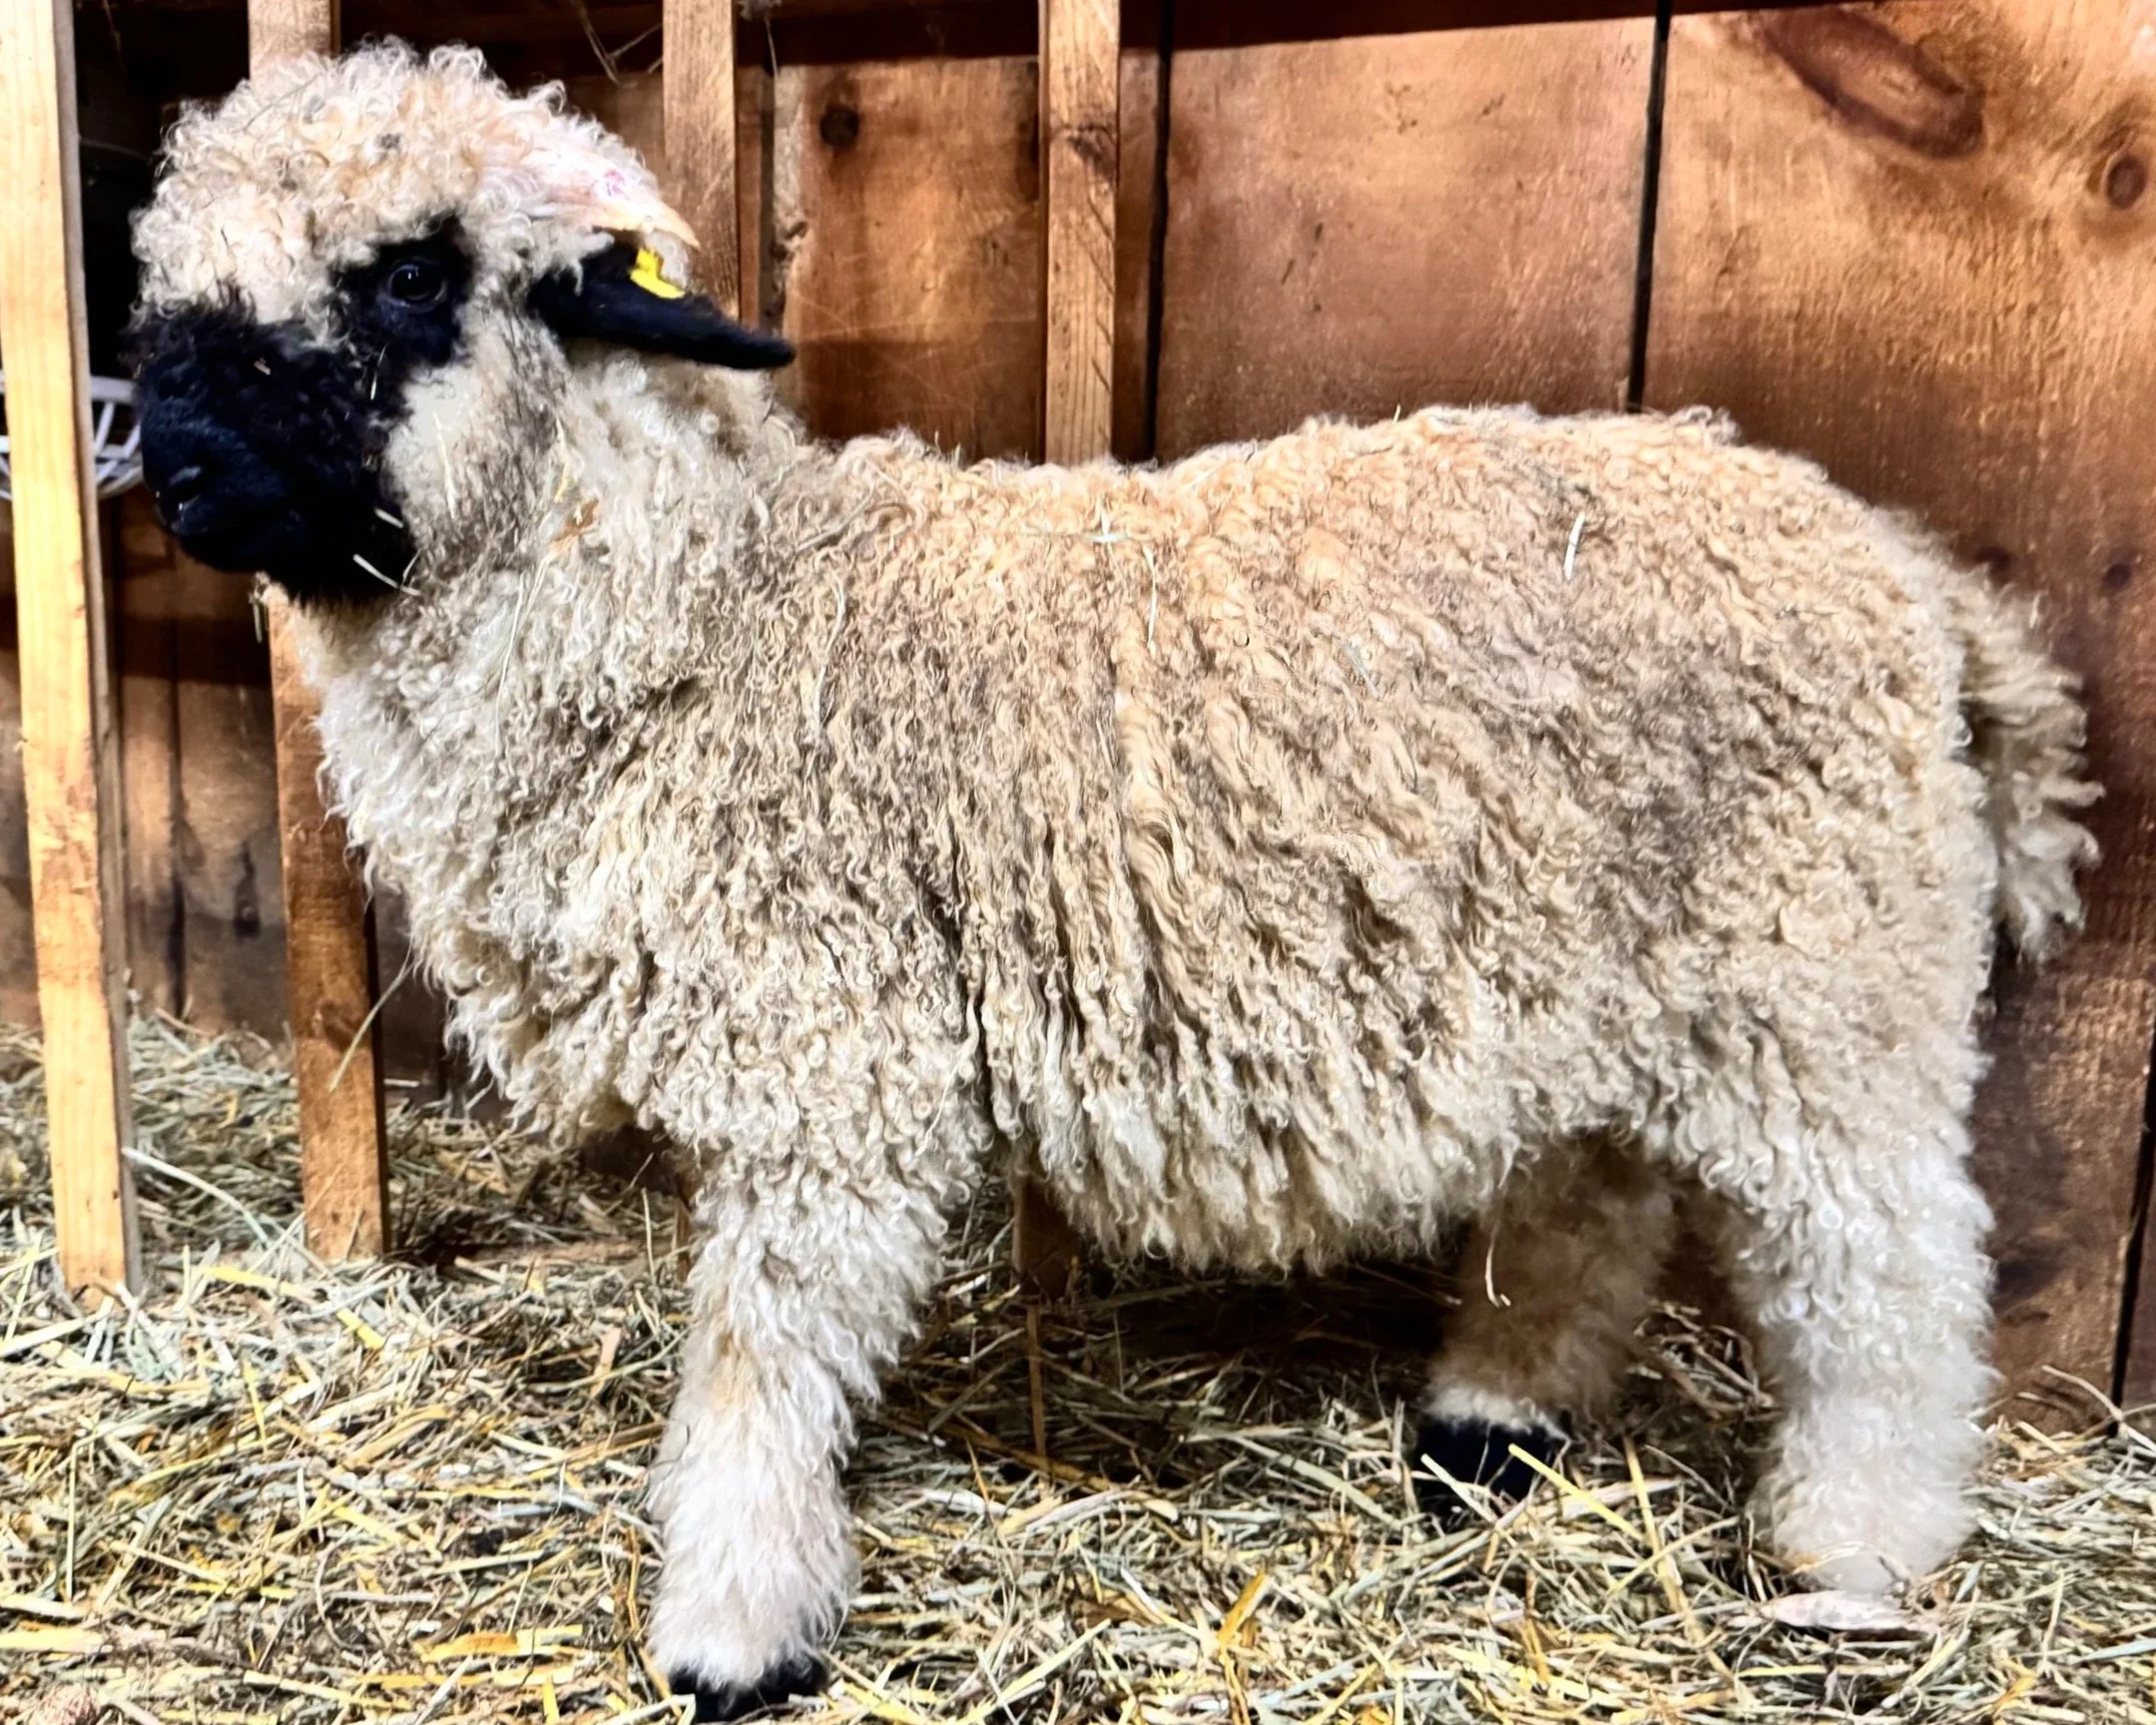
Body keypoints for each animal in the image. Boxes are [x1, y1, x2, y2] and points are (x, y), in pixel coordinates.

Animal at [128, 42, 2098, 1721]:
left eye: (409, 274)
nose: (168, 459)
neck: (712, 614)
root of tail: (1907, 574)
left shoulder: (830, 1069)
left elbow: (765, 1362)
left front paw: (733, 1631)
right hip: (1619, 962)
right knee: (1598, 1198)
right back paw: (1493, 1419)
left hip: (1825, 972)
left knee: (1889, 1273)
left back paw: (1858, 1551)